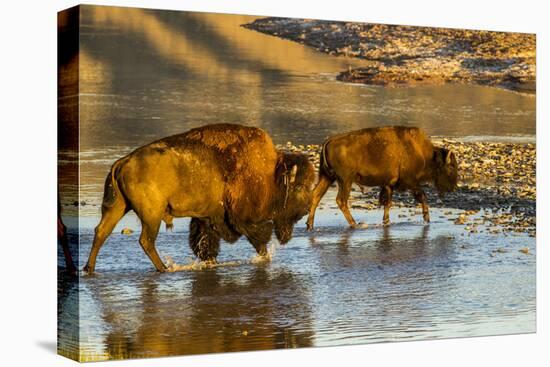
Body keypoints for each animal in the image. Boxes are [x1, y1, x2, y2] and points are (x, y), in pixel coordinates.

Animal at [82, 123, 314, 274]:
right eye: (299, 187)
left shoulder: (207, 217)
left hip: (118, 206)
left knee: (102, 231)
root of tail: (123, 161)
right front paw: (264, 258)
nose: (306, 208)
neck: (270, 173)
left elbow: (206, 244)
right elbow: (259, 239)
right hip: (151, 215)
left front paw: (211, 263)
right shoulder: (242, 219)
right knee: (145, 240)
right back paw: (164, 268)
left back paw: (89, 268)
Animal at [308, 126, 460, 230]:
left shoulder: (389, 184)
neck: (424, 154)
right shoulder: (410, 182)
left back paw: (310, 225)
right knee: (341, 200)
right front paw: (427, 219)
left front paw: (386, 222)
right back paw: (354, 224)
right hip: (345, 180)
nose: (453, 187)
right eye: (451, 167)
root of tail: (329, 141)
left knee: (315, 196)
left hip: (327, 177)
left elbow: (387, 203)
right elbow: (422, 196)